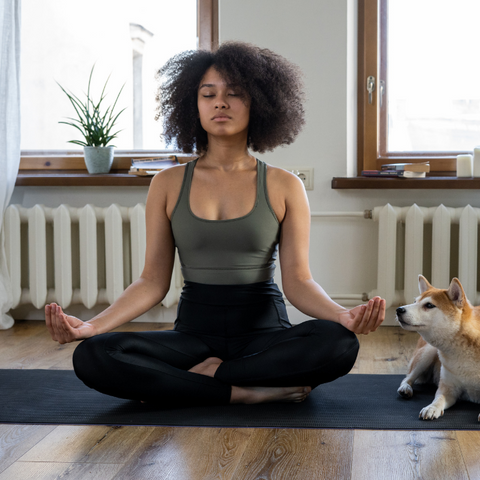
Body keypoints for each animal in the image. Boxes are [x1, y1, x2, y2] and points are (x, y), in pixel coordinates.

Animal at [396, 276, 478, 422]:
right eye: (415, 302)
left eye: (429, 305)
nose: (399, 309)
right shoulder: (448, 388)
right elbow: (438, 398)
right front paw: (431, 408)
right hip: (428, 352)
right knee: (408, 377)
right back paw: (405, 388)